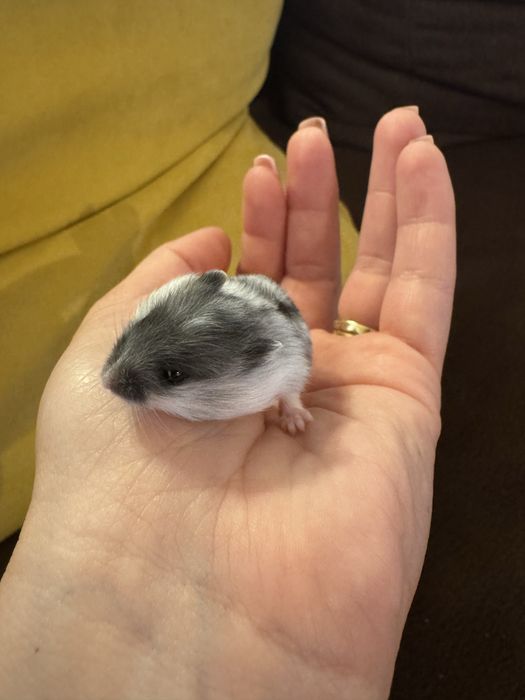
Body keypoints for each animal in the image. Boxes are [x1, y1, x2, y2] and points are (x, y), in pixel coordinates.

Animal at [101, 270, 313, 434]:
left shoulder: (294, 369)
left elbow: (291, 396)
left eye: (174, 374)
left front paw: (297, 426)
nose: (105, 382)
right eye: (145, 320)